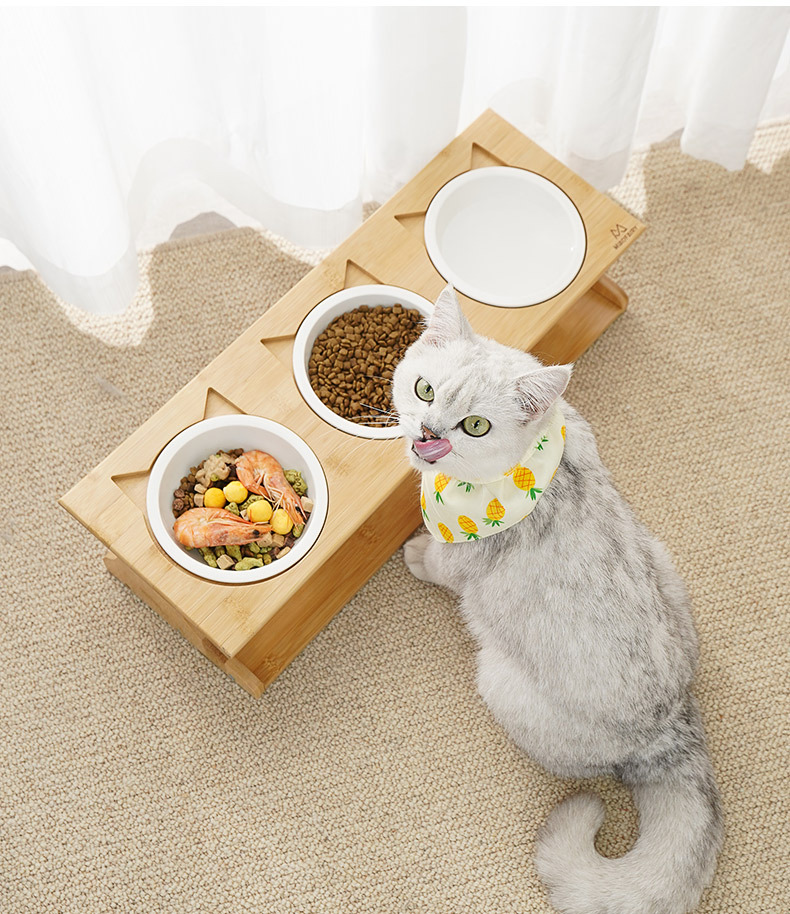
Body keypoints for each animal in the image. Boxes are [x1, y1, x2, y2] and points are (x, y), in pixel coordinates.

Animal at [392, 285, 723, 914]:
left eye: (474, 425)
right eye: (423, 390)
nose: (427, 432)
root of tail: (671, 728)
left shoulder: (461, 561)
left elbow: (439, 564)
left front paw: (415, 552)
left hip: (498, 680)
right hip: (662, 559)